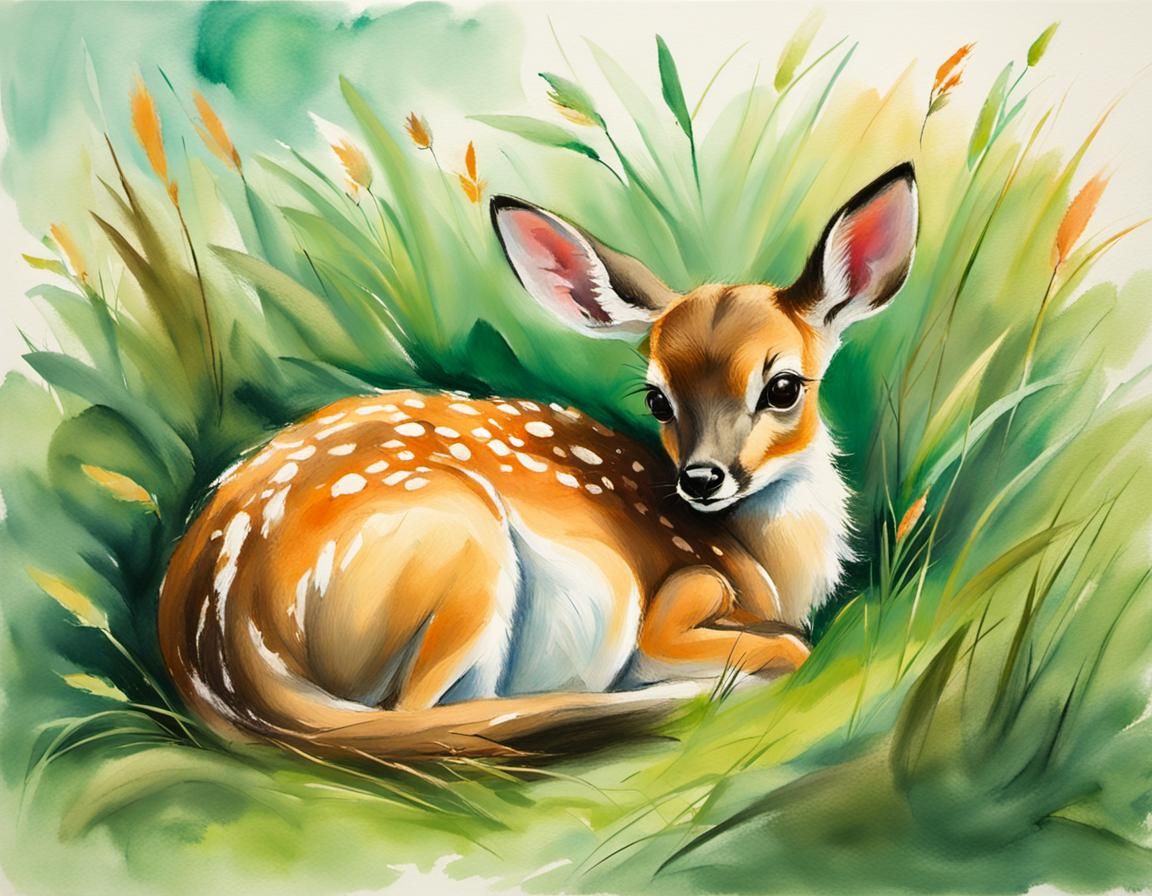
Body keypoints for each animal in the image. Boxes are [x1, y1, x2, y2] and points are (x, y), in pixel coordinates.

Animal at [158, 163, 918, 758]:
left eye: (784, 386)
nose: (701, 479)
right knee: (420, 718)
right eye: (656, 398)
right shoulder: (679, 597)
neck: (768, 565)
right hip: (466, 551)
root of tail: (224, 631)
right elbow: (788, 646)